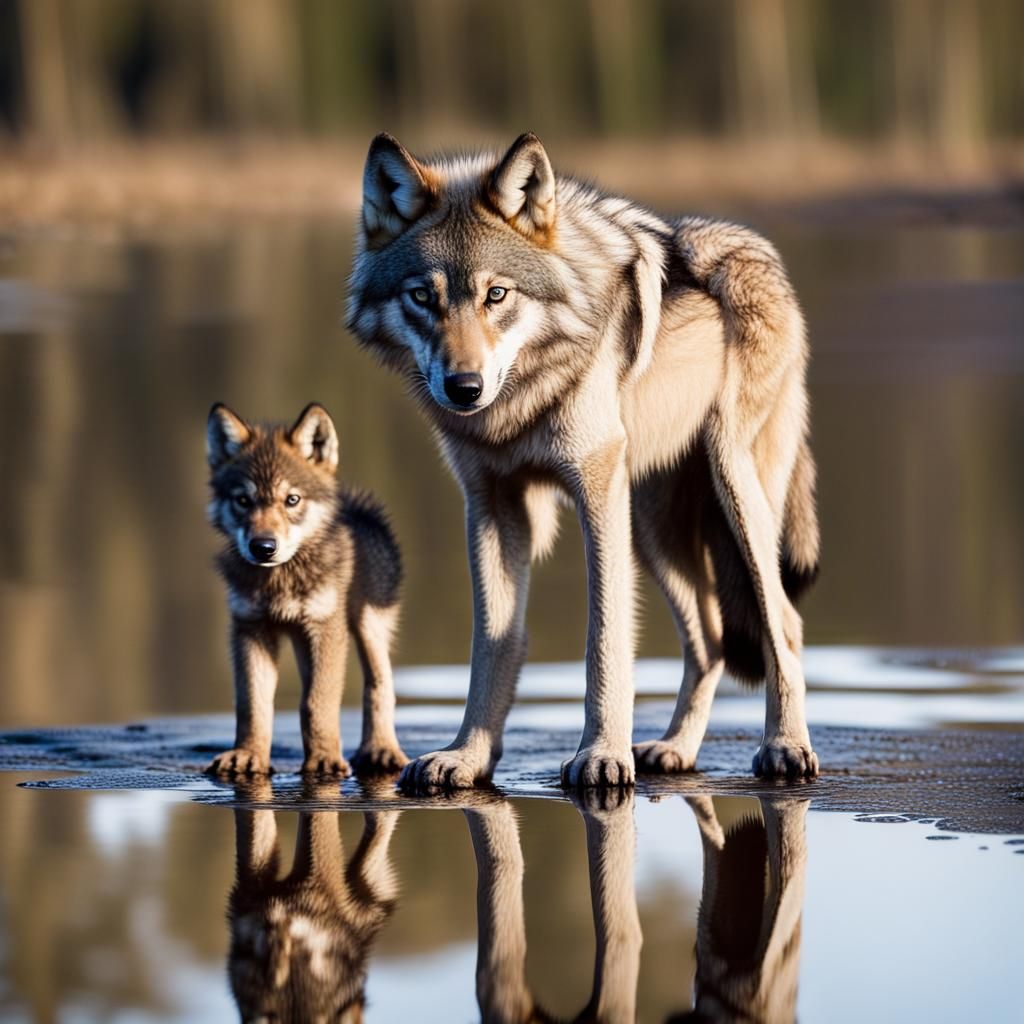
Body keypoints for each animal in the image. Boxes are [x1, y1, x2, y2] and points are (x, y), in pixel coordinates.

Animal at [206, 402, 408, 777]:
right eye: (243, 500)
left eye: (292, 499)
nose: (263, 547)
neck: (280, 579)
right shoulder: (251, 629)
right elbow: (253, 704)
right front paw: (247, 755)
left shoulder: (326, 628)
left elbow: (318, 701)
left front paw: (324, 760)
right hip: (303, 639)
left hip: (368, 627)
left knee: (380, 685)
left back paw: (381, 751)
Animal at [346, 132, 819, 789]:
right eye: (423, 297)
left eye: (497, 295)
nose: (464, 387)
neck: (522, 402)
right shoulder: (493, 505)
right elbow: (492, 642)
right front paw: (467, 756)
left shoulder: (596, 491)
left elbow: (605, 638)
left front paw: (601, 756)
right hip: (655, 531)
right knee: (711, 638)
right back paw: (675, 748)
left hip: (734, 493)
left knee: (785, 625)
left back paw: (785, 747)